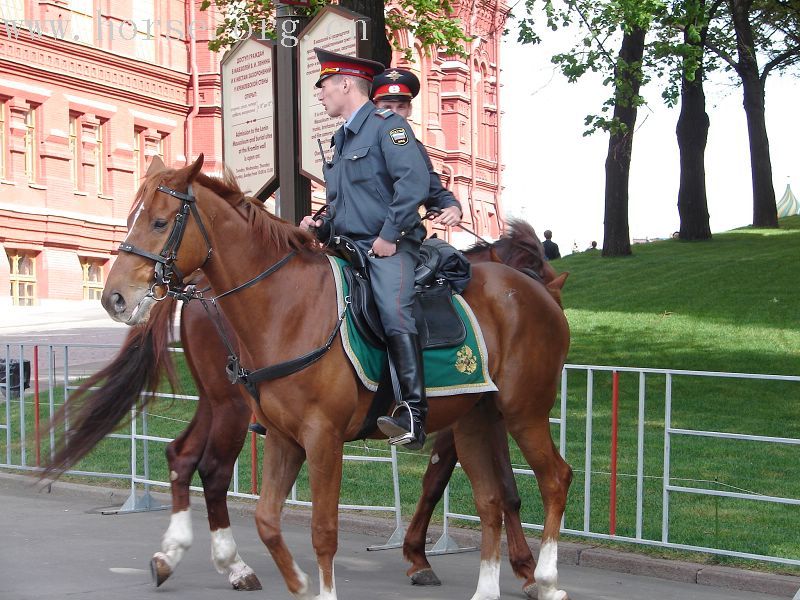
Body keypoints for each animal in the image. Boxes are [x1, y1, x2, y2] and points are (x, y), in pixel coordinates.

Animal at [43, 157, 572, 600]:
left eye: (158, 221)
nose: (113, 296)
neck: (286, 305)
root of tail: (535, 298)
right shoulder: (286, 437)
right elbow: (268, 519)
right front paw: (305, 581)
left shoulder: (322, 439)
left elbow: (324, 529)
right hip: (479, 419)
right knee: (493, 497)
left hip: (519, 413)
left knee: (552, 479)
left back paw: (546, 577)